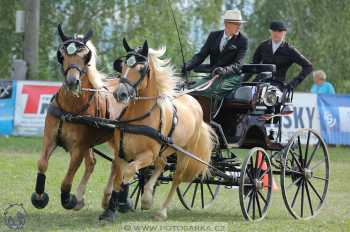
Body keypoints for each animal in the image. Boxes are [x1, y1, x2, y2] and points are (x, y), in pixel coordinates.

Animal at [98, 39, 217, 221]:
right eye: (123, 65)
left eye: (141, 69)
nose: (120, 94)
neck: (139, 119)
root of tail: (194, 101)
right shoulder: (121, 152)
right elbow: (118, 174)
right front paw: (109, 208)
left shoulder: (148, 155)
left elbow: (127, 173)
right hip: (163, 150)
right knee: (162, 165)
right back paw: (147, 197)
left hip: (183, 153)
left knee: (176, 179)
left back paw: (161, 211)